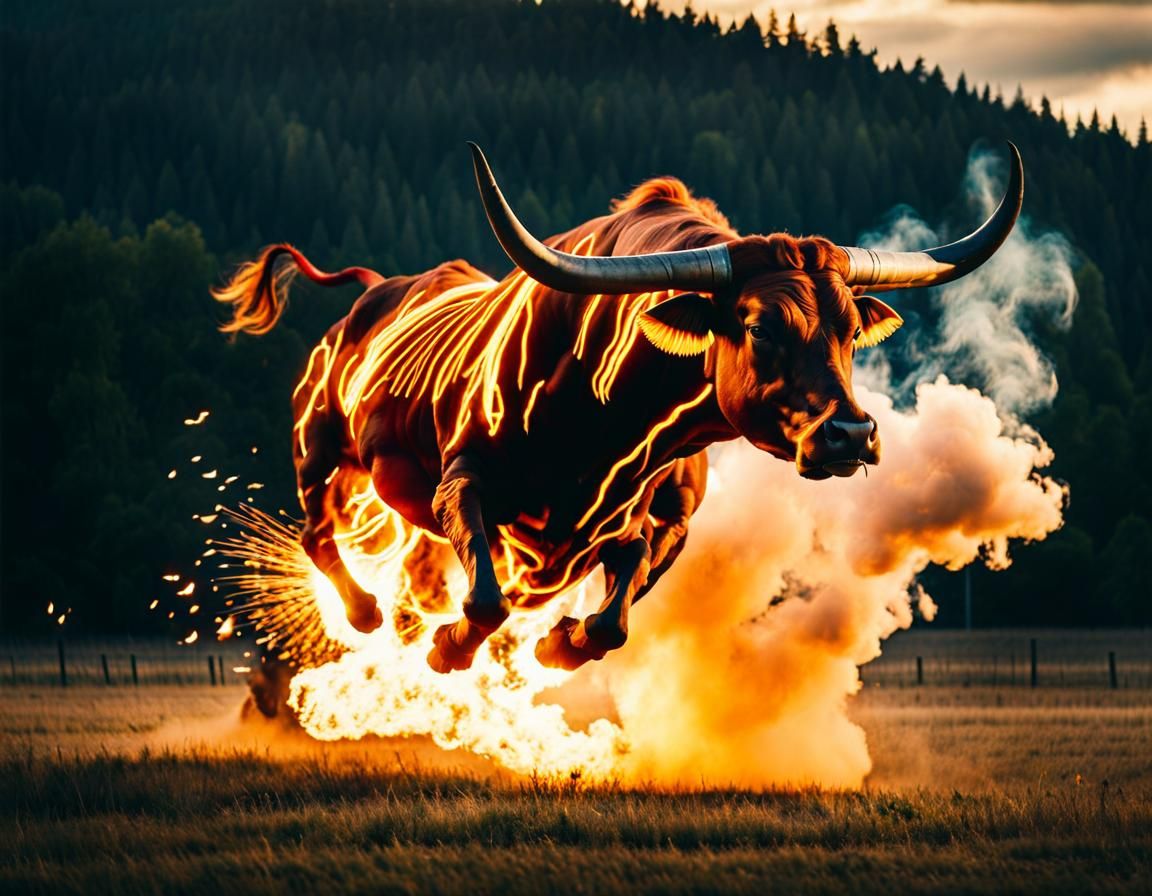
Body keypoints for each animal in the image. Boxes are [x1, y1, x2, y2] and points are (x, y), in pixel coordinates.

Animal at [214, 143, 1022, 674]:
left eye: (852, 329)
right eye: (760, 325)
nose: (850, 434)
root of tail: (375, 292)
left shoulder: (665, 522)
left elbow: (613, 612)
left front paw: (559, 642)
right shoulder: (465, 481)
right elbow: (486, 600)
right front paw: (451, 648)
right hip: (321, 453)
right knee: (319, 537)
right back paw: (369, 615)